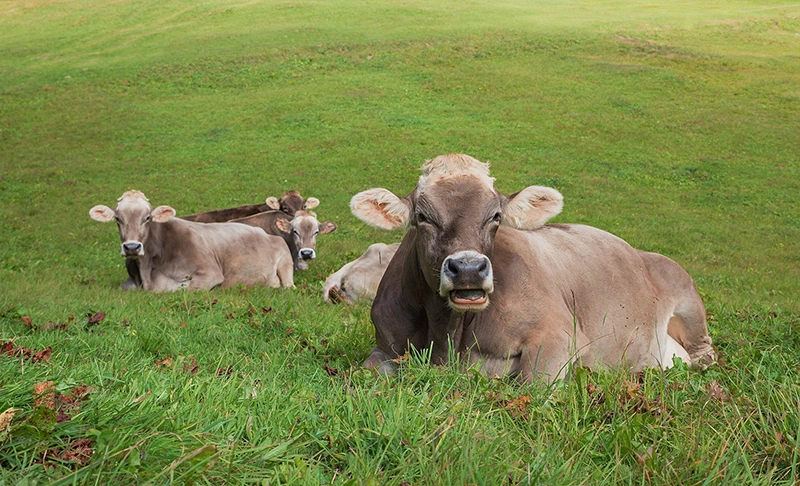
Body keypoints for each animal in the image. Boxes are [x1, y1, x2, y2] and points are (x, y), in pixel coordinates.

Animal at [90, 190, 294, 291]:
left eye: (147, 218)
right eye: (117, 218)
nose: (131, 246)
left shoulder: (210, 273)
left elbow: (188, 288)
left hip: (285, 261)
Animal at [349, 154, 715, 383]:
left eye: (496, 216)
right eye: (423, 217)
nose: (468, 269)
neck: (446, 336)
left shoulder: (558, 335)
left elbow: (532, 387)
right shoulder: (384, 345)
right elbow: (364, 371)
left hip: (688, 304)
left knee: (704, 356)